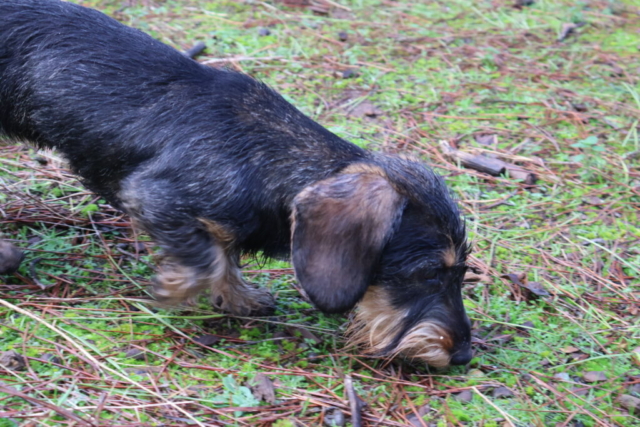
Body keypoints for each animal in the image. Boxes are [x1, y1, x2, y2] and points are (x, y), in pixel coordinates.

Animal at [0, 0, 470, 368]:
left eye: (460, 272)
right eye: (428, 273)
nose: (463, 355)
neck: (266, 155)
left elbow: (224, 254)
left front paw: (239, 297)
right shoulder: (155, 195)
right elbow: (206, 259)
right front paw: (172, 288)